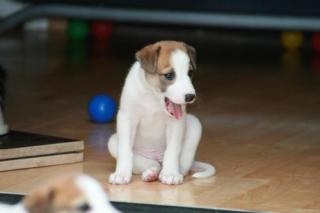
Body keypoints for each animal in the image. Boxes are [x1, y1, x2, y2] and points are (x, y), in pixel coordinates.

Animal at [109, 40, 216, 185]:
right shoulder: (127, 119)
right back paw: (151, 172)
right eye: (169, 75)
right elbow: (125, 151)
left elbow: (172, 150)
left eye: (190, 73)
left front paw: (171, 173)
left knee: (179, 166)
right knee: (150, 163)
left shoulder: (175, 124)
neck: (153, 97)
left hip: (195, 125)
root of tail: (156, 156)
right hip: (113, 142)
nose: (190, 97)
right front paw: (121, 174)